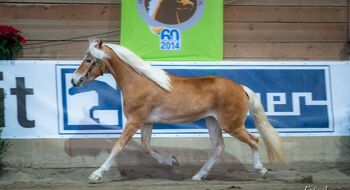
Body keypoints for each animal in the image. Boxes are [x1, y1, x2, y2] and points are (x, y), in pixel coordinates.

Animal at [72, 40, 288, 181]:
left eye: (89, 59)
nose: (74, 80)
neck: (139, 81)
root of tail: (241, 88)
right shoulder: (146, 122)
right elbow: (145, 146)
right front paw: (172, 161)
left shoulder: (134, 120)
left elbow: (118, 146)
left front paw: (96, 174)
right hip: (212, 121)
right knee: (218, 146)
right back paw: (198, 176)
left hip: (232, 125)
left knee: (254, 140)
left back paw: (261, 171)